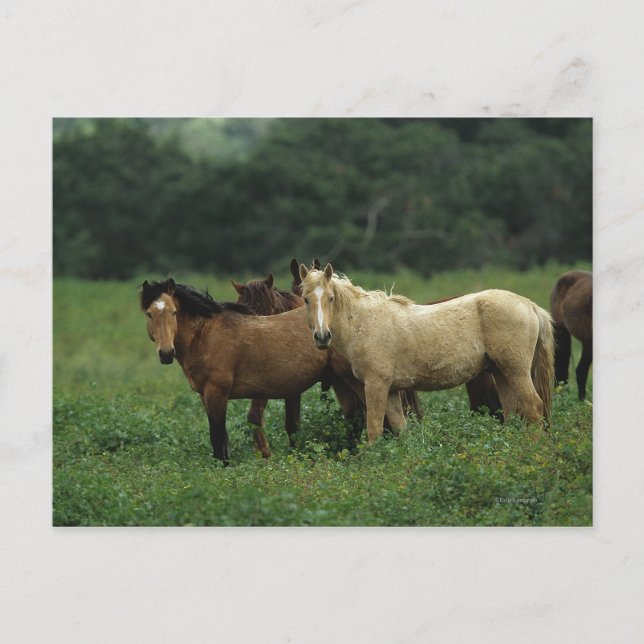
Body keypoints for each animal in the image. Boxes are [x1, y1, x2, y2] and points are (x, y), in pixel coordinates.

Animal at [140, 278, 369, 463]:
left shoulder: (217, 392)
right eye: (149, 314)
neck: (205, 334)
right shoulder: (205, 396)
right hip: (340, 381)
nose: (166, 353)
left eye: (174, 312)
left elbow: (218, 436)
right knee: (354, 417)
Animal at [299, 264, 554, 444]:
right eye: (306, 299)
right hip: (500, 373)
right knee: (512, 414)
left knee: (533, 408)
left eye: (331, 298)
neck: (365, 323)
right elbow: (400, 429)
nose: (322, 337)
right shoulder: (392, 391)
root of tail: (529, 305)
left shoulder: (376, 385)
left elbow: (374, 429)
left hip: (516, 371)